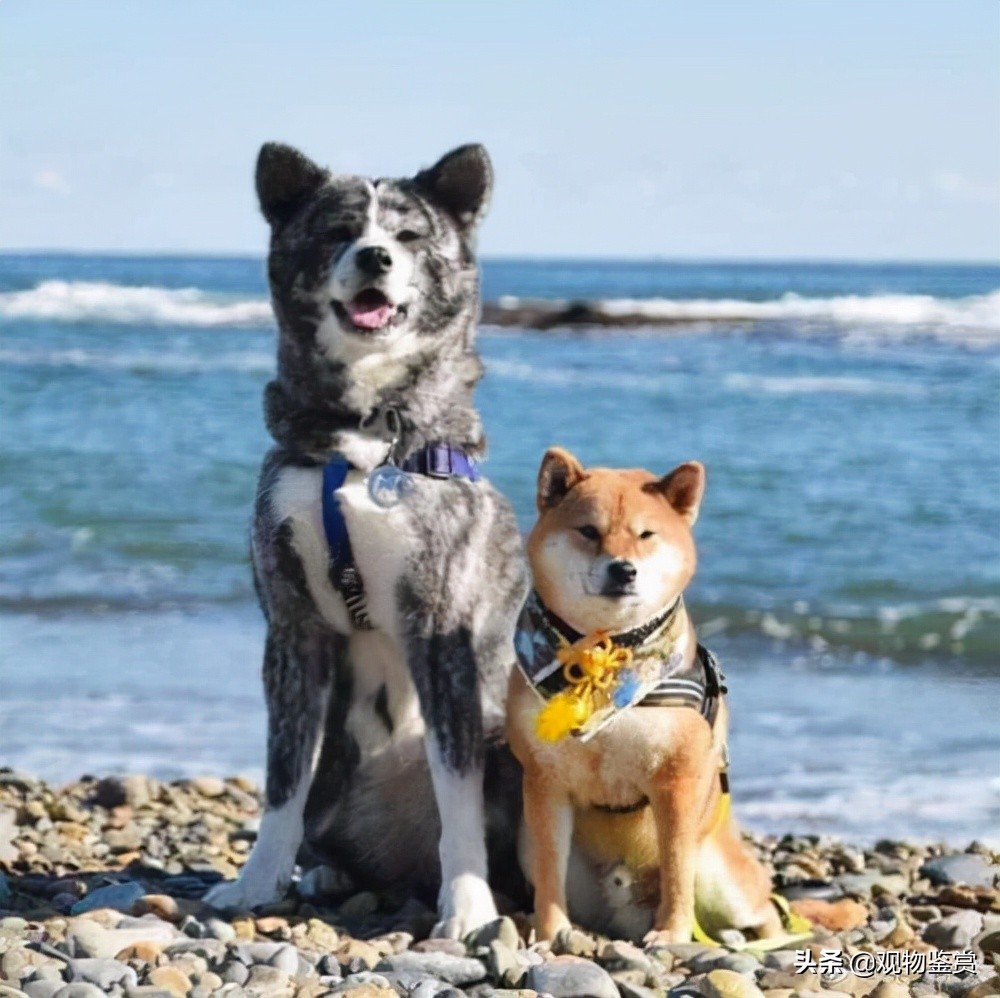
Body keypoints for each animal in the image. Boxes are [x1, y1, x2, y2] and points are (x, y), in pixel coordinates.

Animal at [205, 141, 532, 936]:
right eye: (340, 232)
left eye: (409, 236)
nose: (376, 257)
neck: (367, 436)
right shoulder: (294, 631)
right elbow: (282, 779)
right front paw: (255, 882)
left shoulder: (443, 633)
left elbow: (457, 787)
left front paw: (467, 903)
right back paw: (327, 872)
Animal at [508, 452, 788, 944]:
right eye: (589, 531)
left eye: (645, 535)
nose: (623, 569)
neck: (607, 653)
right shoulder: (544, 781)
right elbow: (548, 869)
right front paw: (549, 931)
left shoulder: (675, 782)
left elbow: (677, 867)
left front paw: (673, 933)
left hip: (720, 875)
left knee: (764, 907)